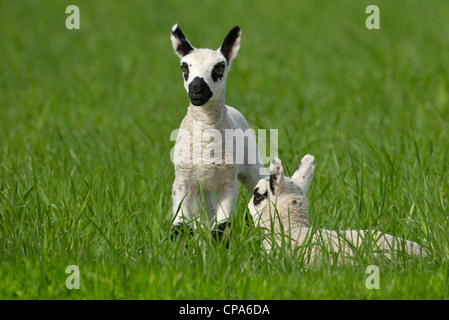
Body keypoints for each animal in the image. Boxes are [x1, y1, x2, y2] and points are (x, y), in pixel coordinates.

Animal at [169, 24, 266, 238]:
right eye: (184, 68)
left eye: (220, 68)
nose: (196, 90)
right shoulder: (183, 182)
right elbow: (179, 226)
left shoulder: (227, 184)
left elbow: (221, 227)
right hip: (201, 188)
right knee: (204, 215)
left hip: (251, 163)